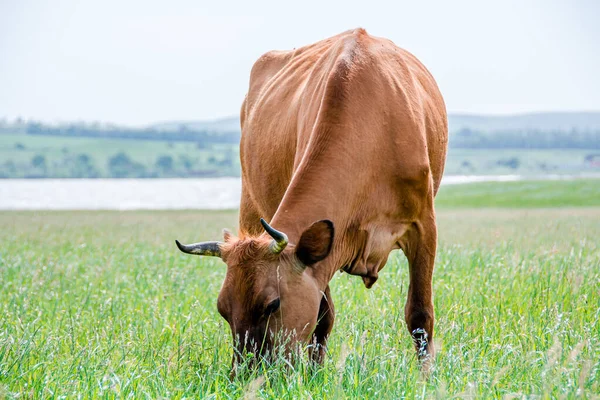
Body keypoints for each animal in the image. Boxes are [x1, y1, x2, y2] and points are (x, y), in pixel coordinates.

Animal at [176, 28, 448, 370]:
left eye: (272, 304)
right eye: (222, 309)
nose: (247, 374)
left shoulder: (424, 226)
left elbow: (420, 315)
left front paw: (427, 376)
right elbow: (322, 317)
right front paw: (315, 374)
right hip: (249, 204)